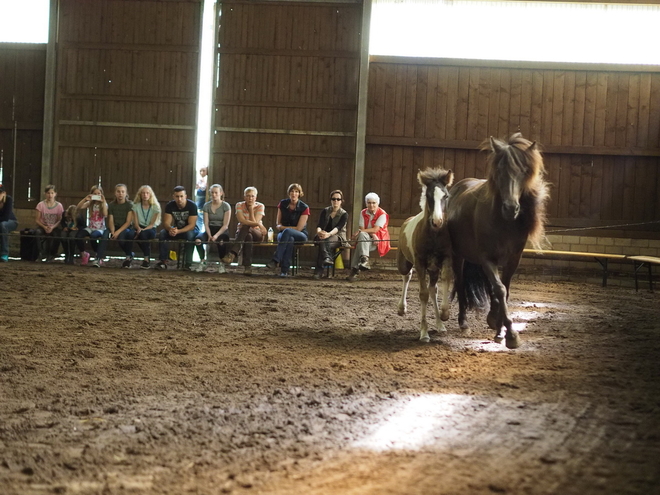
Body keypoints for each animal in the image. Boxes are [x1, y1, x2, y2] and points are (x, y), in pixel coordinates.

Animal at [398, 169, 454, 342]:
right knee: (407, 276)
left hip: (433, 269)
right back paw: (402, 308)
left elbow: (445, 280)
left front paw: (444, 315)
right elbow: (423, 295)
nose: (437, 221)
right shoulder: (420, 263)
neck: (434, 235)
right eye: (428, 195)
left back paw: (440, 325)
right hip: (405, 264)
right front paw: (424, 333)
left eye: (446, 195)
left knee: (433, 289)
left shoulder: (446, 259)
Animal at [446, 132, 548, 348]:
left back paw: (492, 317)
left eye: (524, 171)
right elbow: (500, 290)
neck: (503, 223)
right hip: (458, 256)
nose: (511, 208)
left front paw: (500, 329)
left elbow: (505, 290)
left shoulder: (512, 259)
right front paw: (510, 334)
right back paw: (463, 323)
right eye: (500, 170)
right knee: (461, 283)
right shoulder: (487, 259)